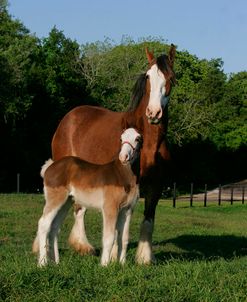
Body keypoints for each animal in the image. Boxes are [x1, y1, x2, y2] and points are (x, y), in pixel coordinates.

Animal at [33, 128, 142, 266]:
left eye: (137, 139)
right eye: (121, 139)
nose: (124, 157)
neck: (122, 175)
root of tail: (49, 168)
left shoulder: (127, 210)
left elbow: (124, 238)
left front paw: (122, 265)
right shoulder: (110, 209)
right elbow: (109, 237)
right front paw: (104, 265)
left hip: (66, 203)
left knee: (54, 227)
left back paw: (56, 262)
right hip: (55, 200)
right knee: (43, 224)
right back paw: (42, 263)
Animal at [52, 43, 176, 264]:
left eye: (171, 77)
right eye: (148, 77)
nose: (154, 113)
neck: (148, 141)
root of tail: (68, 119)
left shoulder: (156, 185)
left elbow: (148, 219)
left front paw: (144, 258)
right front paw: (111, 257)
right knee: (78, 209)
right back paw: (83, 246)